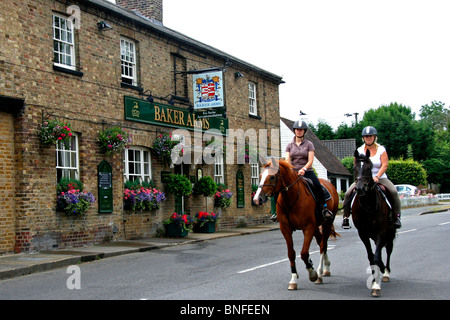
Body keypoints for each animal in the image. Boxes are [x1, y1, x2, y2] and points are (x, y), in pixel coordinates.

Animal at [253, 158, 338, 290]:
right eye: (261, 176)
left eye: (272, 177)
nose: (257, 199)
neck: (291, 198)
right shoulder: (286, 229)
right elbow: (291, 253)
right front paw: (293, 279)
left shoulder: (308, 227)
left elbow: (304, 253)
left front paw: (312, 272)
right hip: (316, 227)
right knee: (320, 242)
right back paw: (325, 268)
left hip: (327, 223)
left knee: (323, 245)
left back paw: (320, 273)